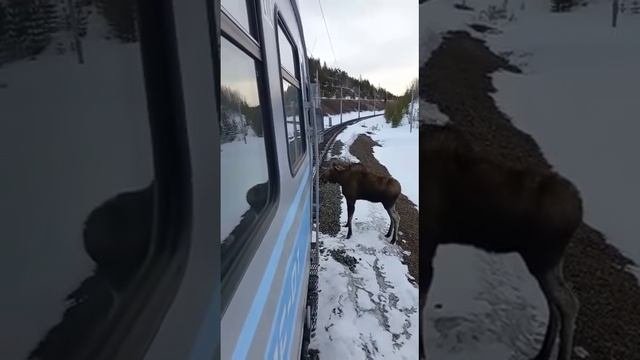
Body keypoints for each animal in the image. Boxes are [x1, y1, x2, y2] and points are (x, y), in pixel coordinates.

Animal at [420, 124, 584, 360]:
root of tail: (579, 210)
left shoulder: (428, 240)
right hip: (547, 262)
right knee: (556, 304)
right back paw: (542, 353)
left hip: (543, 259)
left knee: (568, 303)